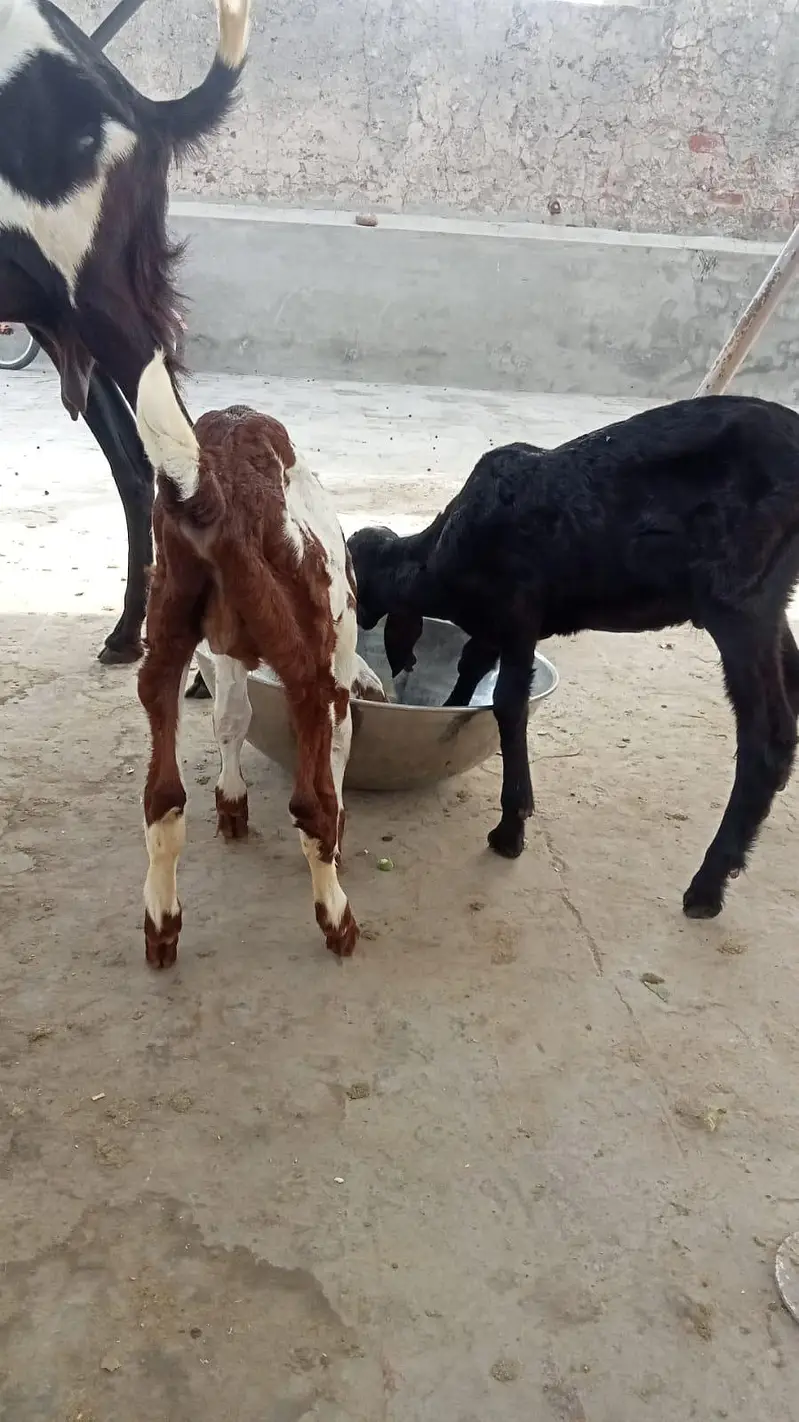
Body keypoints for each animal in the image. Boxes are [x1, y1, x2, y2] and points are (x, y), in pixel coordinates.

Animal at [0, 0, 250, 664]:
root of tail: (138, 107)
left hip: (102, 308)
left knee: (183, 463)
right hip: (75, 327)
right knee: (141, 470)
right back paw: (130, 632)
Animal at [134, 351, 387, 969]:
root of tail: (210, 491)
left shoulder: (224, 651)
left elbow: (231, 719)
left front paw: (232, 803)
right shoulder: (332, 673)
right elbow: (336, 764)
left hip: (163, 643)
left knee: (162, 801)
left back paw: (162, 927)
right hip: (307, 671)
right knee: (311, 807)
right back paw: (338, 922)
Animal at [348, 398, 799, 920]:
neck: (444, 551)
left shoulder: (518, 610)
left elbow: (509, 703)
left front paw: (511, 827)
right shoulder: (496, 625)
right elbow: (471, 666)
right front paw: (449, 716)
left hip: (737, 597)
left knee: (768, 738)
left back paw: (708, 884)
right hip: (771, 600)